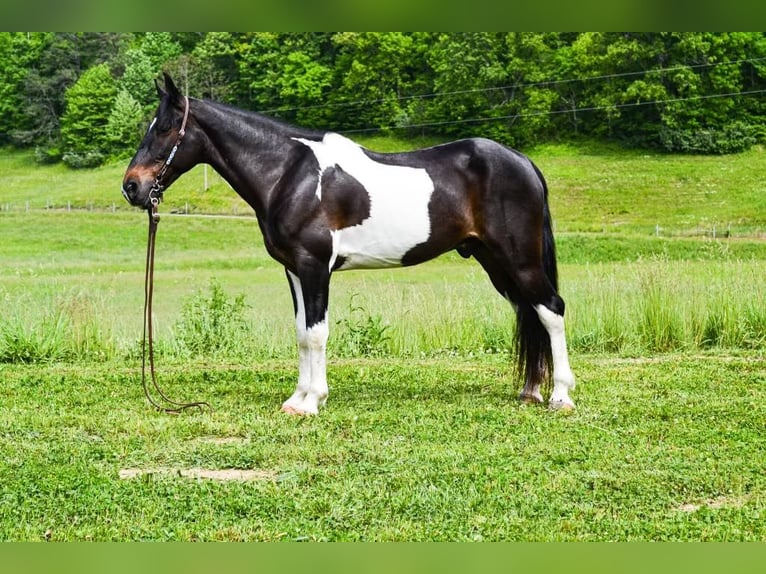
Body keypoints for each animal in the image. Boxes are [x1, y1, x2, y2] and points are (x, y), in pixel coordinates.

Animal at [123, 74, 576, 416]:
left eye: (164, 128)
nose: (132, 187)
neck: (290, 175)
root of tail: (523, 162)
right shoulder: (293, 270)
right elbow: (301, 331)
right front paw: (296, 399)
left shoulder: (314, 266)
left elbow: (317, 333)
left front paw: (312, 402)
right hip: (495, 261)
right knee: (528, 312)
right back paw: (530, 392)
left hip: (520, 259)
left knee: (551, 310)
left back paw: (560, 396)